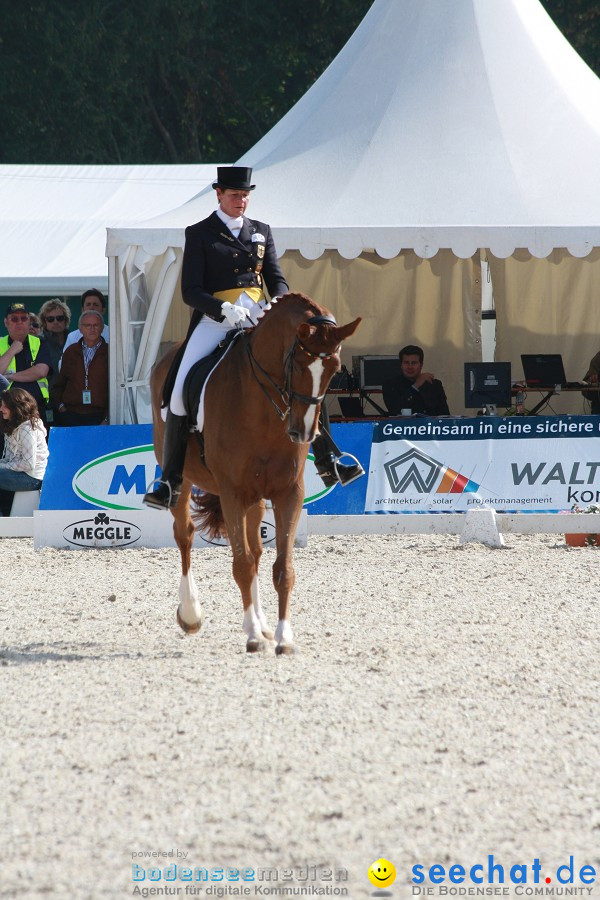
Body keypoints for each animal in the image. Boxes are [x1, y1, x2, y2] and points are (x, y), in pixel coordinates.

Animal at [150, 296, 364, 652]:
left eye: (334, 370)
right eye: (297, 365)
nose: (303, 433)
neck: (263, 410)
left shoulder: (288, 492)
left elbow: (282, 568)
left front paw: (282, 636)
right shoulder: (232, 493)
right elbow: (241, 564)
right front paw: (251, 635)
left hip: (256, 498)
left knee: (257, 549)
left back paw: (262, 624)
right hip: (185, 479)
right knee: (185, 535)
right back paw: (191, 614)